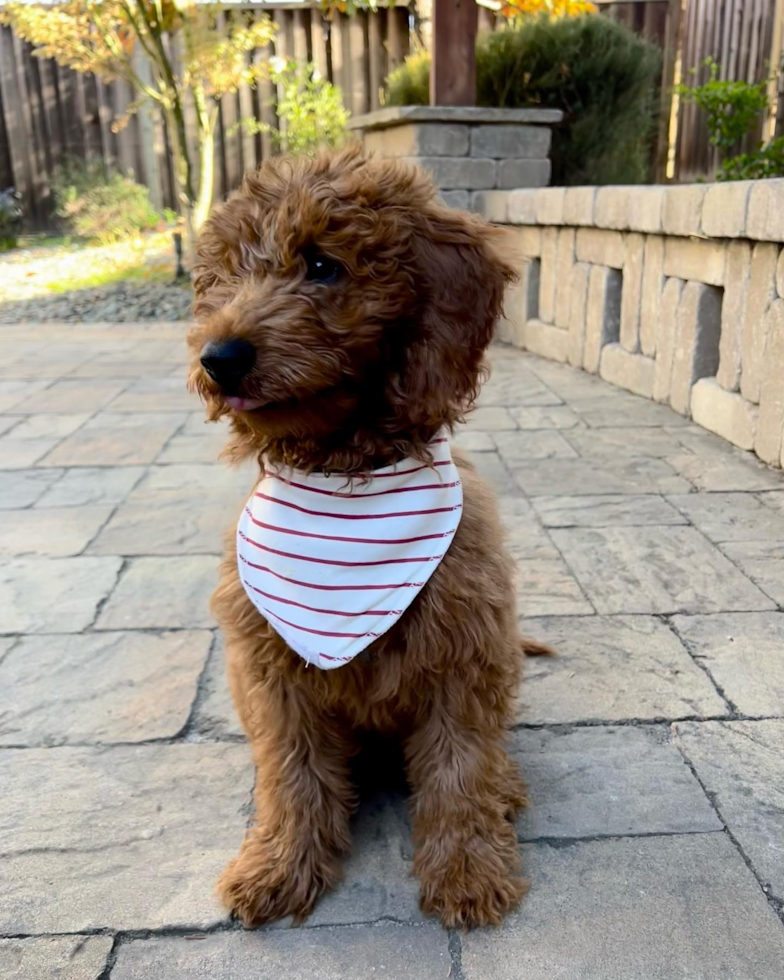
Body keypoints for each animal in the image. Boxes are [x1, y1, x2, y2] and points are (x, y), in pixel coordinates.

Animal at [187, 144, 548, 928]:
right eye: (225, 274)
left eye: (323, 264)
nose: (218, 358)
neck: (346, 477)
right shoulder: (271, 672)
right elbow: (292, 775)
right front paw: (279, 865)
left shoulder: (464, 655)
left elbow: (459, 770)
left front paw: (468, 871)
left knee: (490, 758)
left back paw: (506, 789)